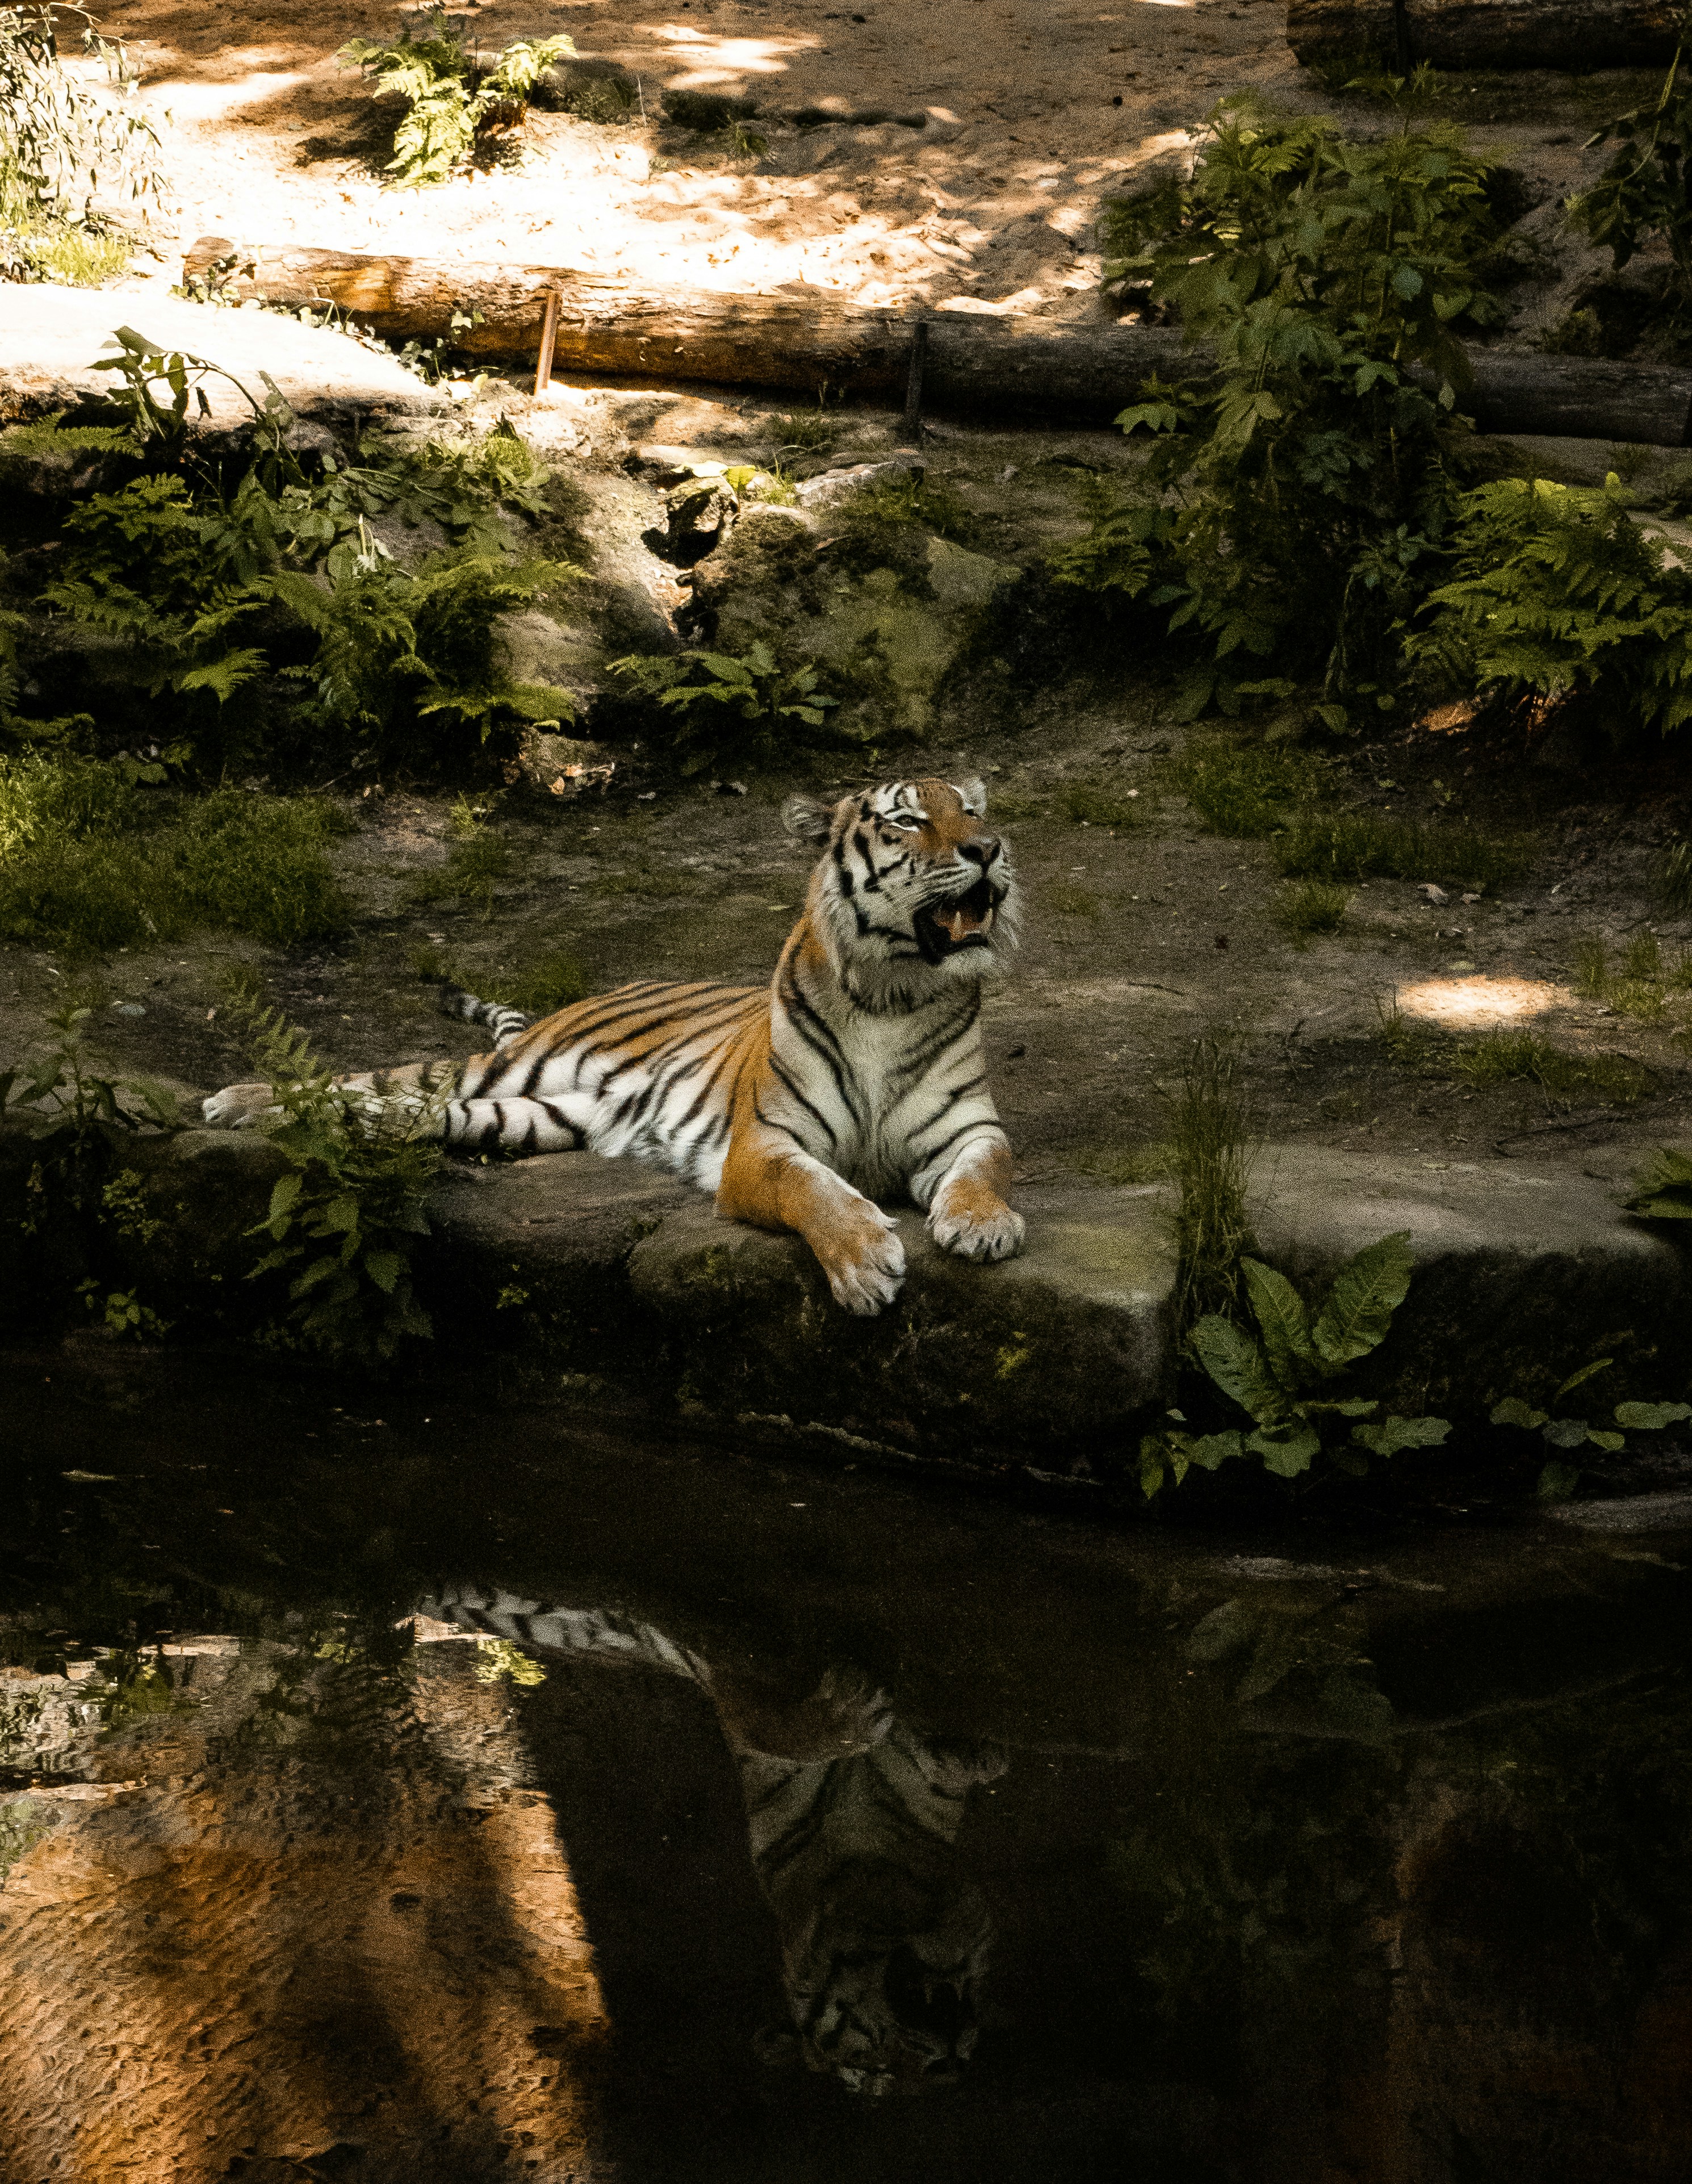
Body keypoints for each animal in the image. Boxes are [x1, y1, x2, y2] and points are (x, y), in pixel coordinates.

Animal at [204, 776, 1024, 1315]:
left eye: (972, 810)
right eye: (908, 819)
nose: (988, 848)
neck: (895, 992)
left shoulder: (968, 1128)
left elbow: (985, 1170)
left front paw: (982, 1226)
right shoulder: (763, 1145)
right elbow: (814, 1190)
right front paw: (863, 1261)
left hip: (524, 1116)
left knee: (392, 1111)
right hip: (502, 1068)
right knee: (381, 1080)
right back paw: (236, 1101)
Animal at [421, 1585, 1005, 2097]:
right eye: (873, 2066)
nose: (949, 2069)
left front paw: (971, 1756)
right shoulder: (730, 1692)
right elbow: (763, 1719)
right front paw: (852, 1713)